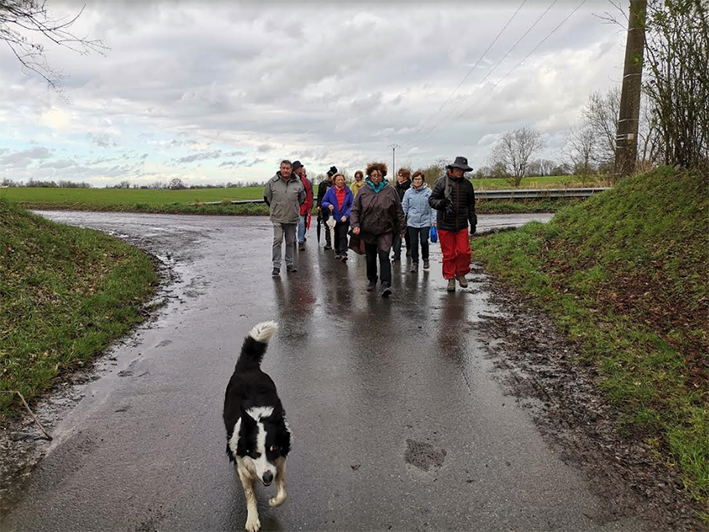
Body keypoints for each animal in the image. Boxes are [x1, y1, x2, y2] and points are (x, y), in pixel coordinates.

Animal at [223, 321, 291, 532]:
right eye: (254, 453)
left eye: (273, 450)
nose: (267, 478)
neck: (258, 416)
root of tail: (248, 367)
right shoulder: (245, 466)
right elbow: (249, 494)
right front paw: (252, 519)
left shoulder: (280, 461)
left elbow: (283, 491)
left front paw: (274, 501)